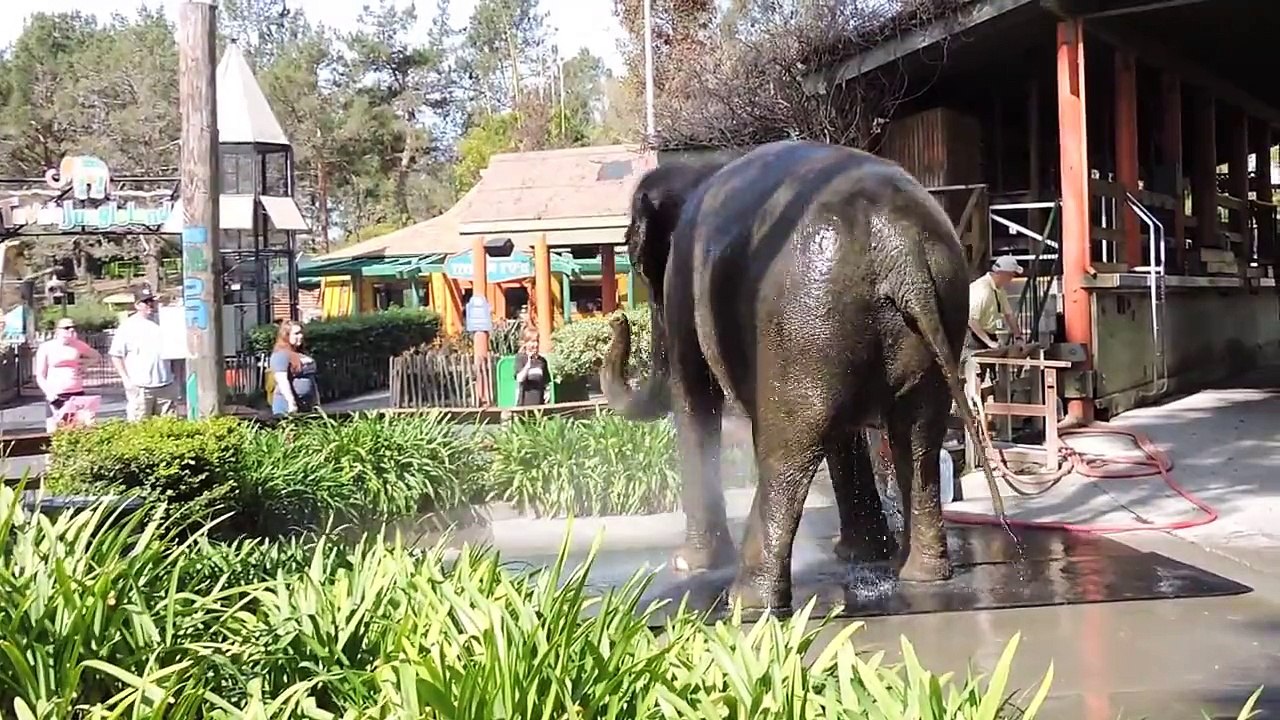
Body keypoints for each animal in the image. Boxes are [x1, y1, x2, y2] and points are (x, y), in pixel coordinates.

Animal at [601, 140, 1005, 611]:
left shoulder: (683, 280)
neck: (698, 167)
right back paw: (921, 576)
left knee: (787, 446)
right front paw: (861, 554)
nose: (616, 320)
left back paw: (746, 600)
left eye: (635, 256)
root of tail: (900, 246)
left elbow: (695, 399)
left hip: (804, 323)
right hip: (919, 319)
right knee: (919, 434)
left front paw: (688, 565)